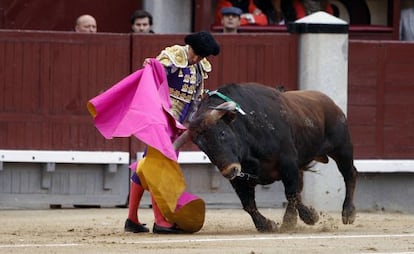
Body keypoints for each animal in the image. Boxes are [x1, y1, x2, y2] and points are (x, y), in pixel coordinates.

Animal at [176, 83, 358, 232]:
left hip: (342, 148)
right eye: (203, 147)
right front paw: (268, 225)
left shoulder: (288, 162)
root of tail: (330, 102)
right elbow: (249, 204)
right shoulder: (240, 178)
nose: (229, 171)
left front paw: (299, 220)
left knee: (350, 173)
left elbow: (291, 192)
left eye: (222, 133)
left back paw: (348, 213)